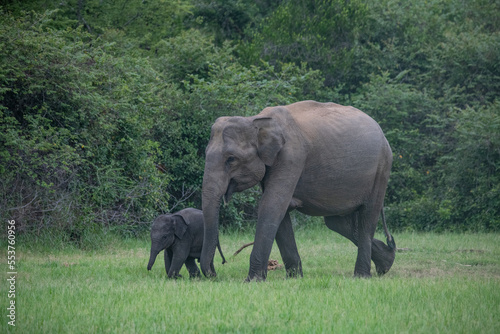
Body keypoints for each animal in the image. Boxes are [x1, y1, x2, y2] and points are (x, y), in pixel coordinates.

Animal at [199, 100, 394, 280]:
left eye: (231, 159)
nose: (215, 272)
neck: (257, 120)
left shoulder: (291, 157)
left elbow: (272, 205)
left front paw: (253, 280)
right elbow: (280, 211)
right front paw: (294, 278)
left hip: (382, 168)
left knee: (367, 217)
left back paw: (362, 275)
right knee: (337, 222)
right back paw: (387, 262)